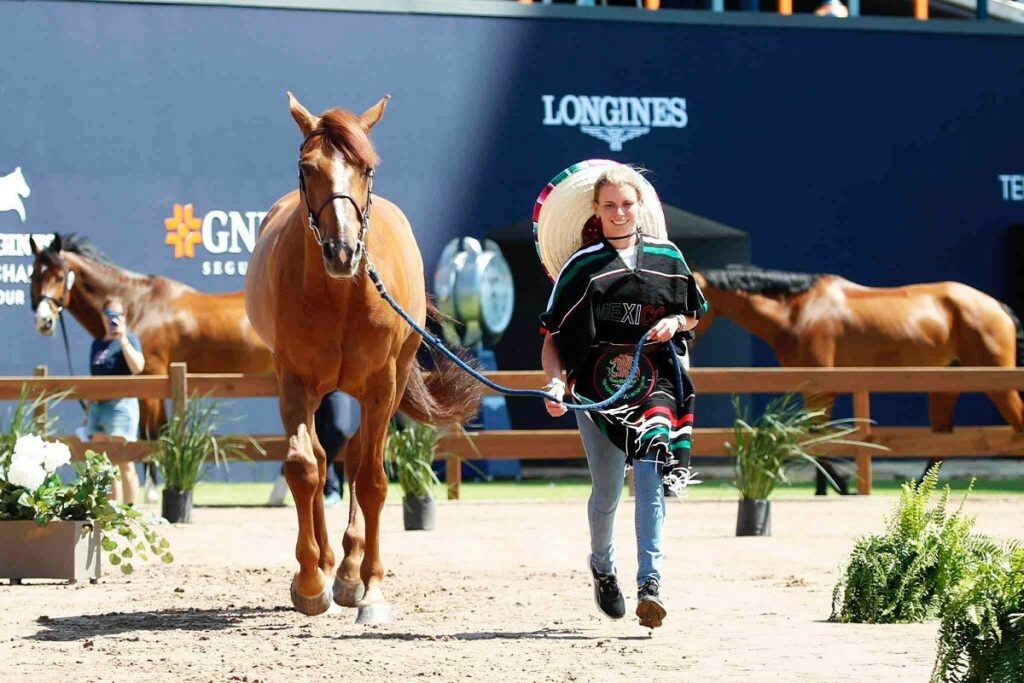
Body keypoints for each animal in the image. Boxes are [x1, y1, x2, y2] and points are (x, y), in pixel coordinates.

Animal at [243, 93, 479, 622]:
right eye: (306, 167)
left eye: (366, 169)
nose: (342, 251)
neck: (343, 296)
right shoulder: (293, 382)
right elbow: (303, 468)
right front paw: (310, 582)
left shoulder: (381, 386)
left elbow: (371, 480)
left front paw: (369, 588)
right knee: (323, 457)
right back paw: (329, 564)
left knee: (353, 458)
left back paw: (349, 572)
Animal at [692, 264, 1019, 493]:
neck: (798, 311)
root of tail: (996, 306)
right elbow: (815, 439)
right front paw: (826, 489)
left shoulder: (820, 389)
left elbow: (818, 439)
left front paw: (838, 487)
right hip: (945, 386)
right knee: (940, 443)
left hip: (998, 384)